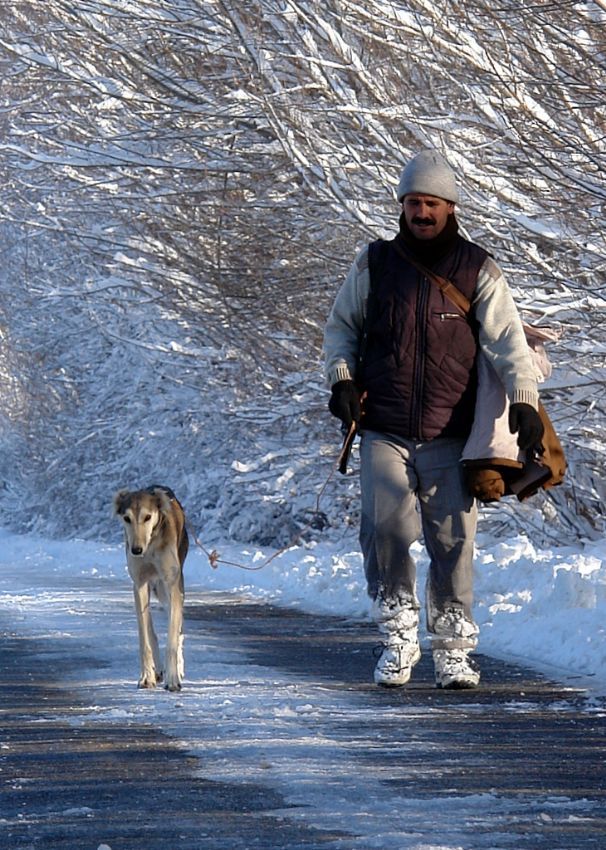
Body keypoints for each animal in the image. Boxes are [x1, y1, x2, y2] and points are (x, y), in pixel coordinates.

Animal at [114, 484, 189, 688]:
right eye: (127, 518)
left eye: (148, 517)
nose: (136, 550)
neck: (151, 545)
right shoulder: (139, 583)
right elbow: (144, 638)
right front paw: (146, 676)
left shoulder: (172, 584)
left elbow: (172, 638)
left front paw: (173, 678)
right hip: (152, 587)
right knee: (151, 630)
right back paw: (157, 671)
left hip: (166, 589)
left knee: (178, 629)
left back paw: (177, 669)